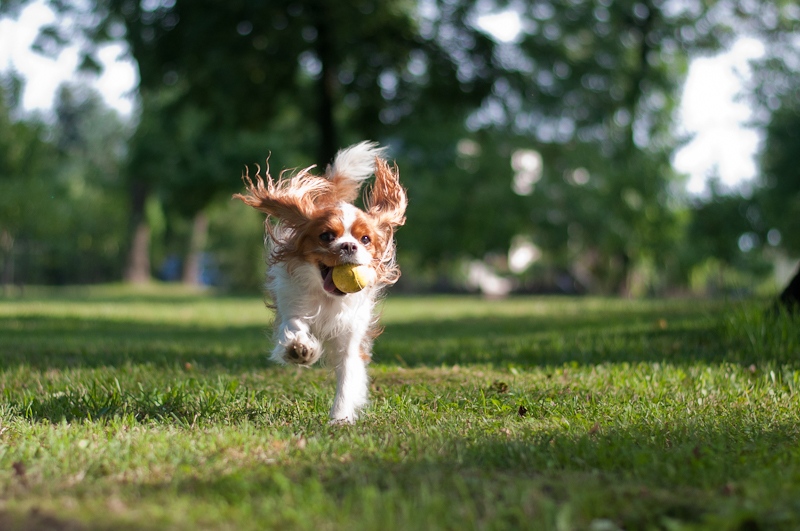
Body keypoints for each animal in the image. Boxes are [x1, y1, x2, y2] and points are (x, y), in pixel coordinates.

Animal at [234, 142, 407, 423]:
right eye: (326, 236)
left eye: (365, 239)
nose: (349, 245)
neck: (329, 300)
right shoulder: (293, 308)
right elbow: (295, 328)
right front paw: (300, 349)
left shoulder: (351, 337)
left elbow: (347, 378)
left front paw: (340, 418)